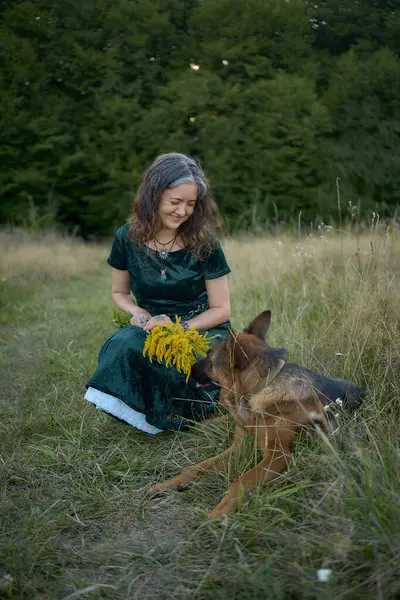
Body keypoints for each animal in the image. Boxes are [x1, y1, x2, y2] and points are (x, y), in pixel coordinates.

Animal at [149, 312, 362, 516]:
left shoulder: (278, 455)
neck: (258, 389)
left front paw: (216, 514)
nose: (186, 368)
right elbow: (196, 467)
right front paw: (167, 484)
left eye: (210, 359)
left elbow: (240, 482)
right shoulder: (239, 446)